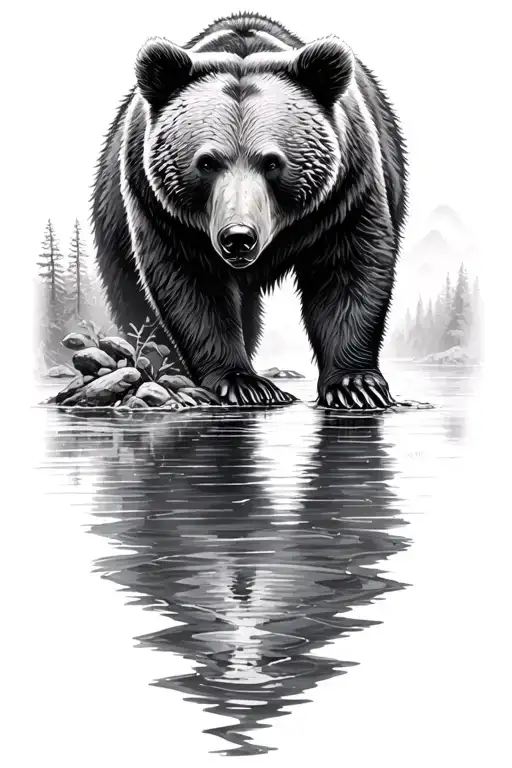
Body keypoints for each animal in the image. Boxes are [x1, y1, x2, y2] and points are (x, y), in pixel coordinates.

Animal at [91, 12, 407, 409]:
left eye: (272, 162)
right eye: (206, 162)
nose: (238, 238)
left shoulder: (346, 190)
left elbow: (348, 269)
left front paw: (356, 384)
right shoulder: (162, 210)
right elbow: (192, 285)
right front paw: (244, 382)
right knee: (133, 298)